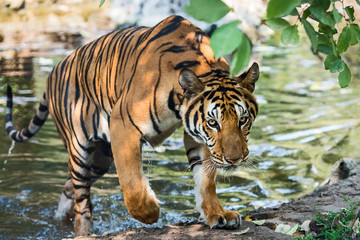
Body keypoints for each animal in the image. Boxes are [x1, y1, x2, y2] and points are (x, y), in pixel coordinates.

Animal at [4, 15, 258, 236]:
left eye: (243, 120)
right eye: (213, 122)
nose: (235, 159)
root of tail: (53, 71)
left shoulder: (198, 136)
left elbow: (206, 181)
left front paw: (218, 214)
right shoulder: (123, 126)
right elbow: (132, 182)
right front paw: (150, 213)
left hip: (100, 159)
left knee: (69, 188)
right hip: (80, 150)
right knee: (81, 203)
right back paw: (83, 232)